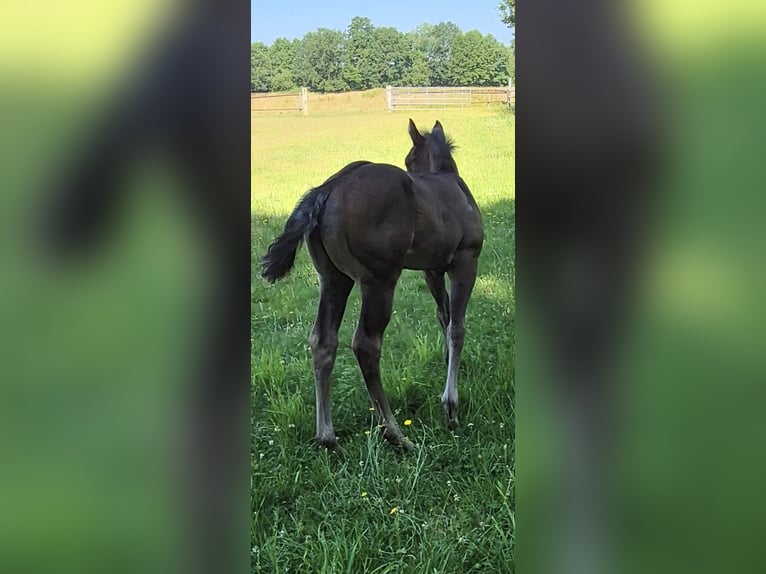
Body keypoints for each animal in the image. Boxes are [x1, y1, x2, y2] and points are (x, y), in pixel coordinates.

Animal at [261, 119, 484, 452]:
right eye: (409, 161)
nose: (409, 168)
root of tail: (327, 189)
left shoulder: (431, 270)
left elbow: (443, 318)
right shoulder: (466, 261)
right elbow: (457, 328)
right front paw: (451, 407)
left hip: (333, 279)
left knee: (323, 341)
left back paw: (328, 438)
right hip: (379, 280)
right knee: (365, 344)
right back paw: (395, 433)